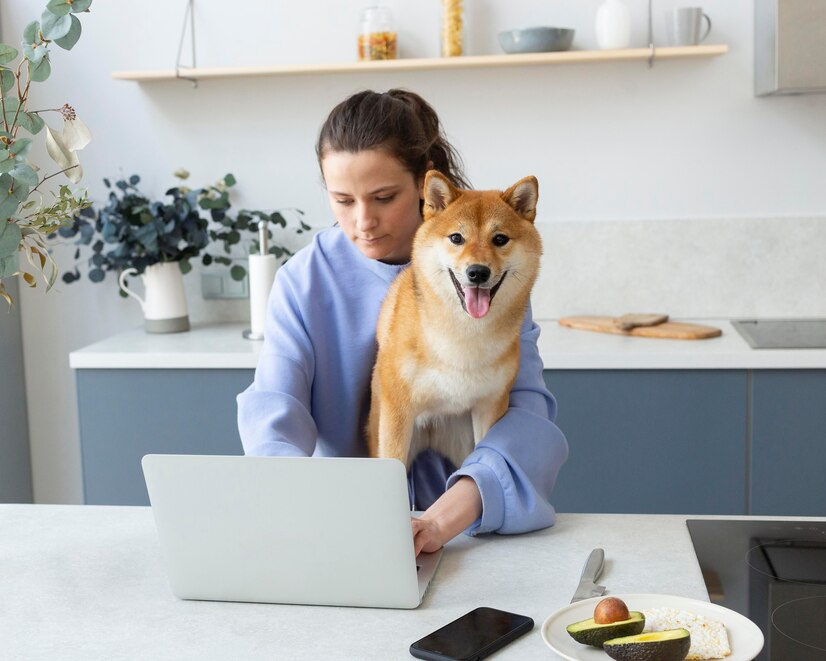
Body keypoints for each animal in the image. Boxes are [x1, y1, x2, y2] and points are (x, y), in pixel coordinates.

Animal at [366, 171, 540, 470]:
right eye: (457, 238)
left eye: (500, 239)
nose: (478, 272)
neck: (464, 332)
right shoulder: (397, 412)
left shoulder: (490, 406)